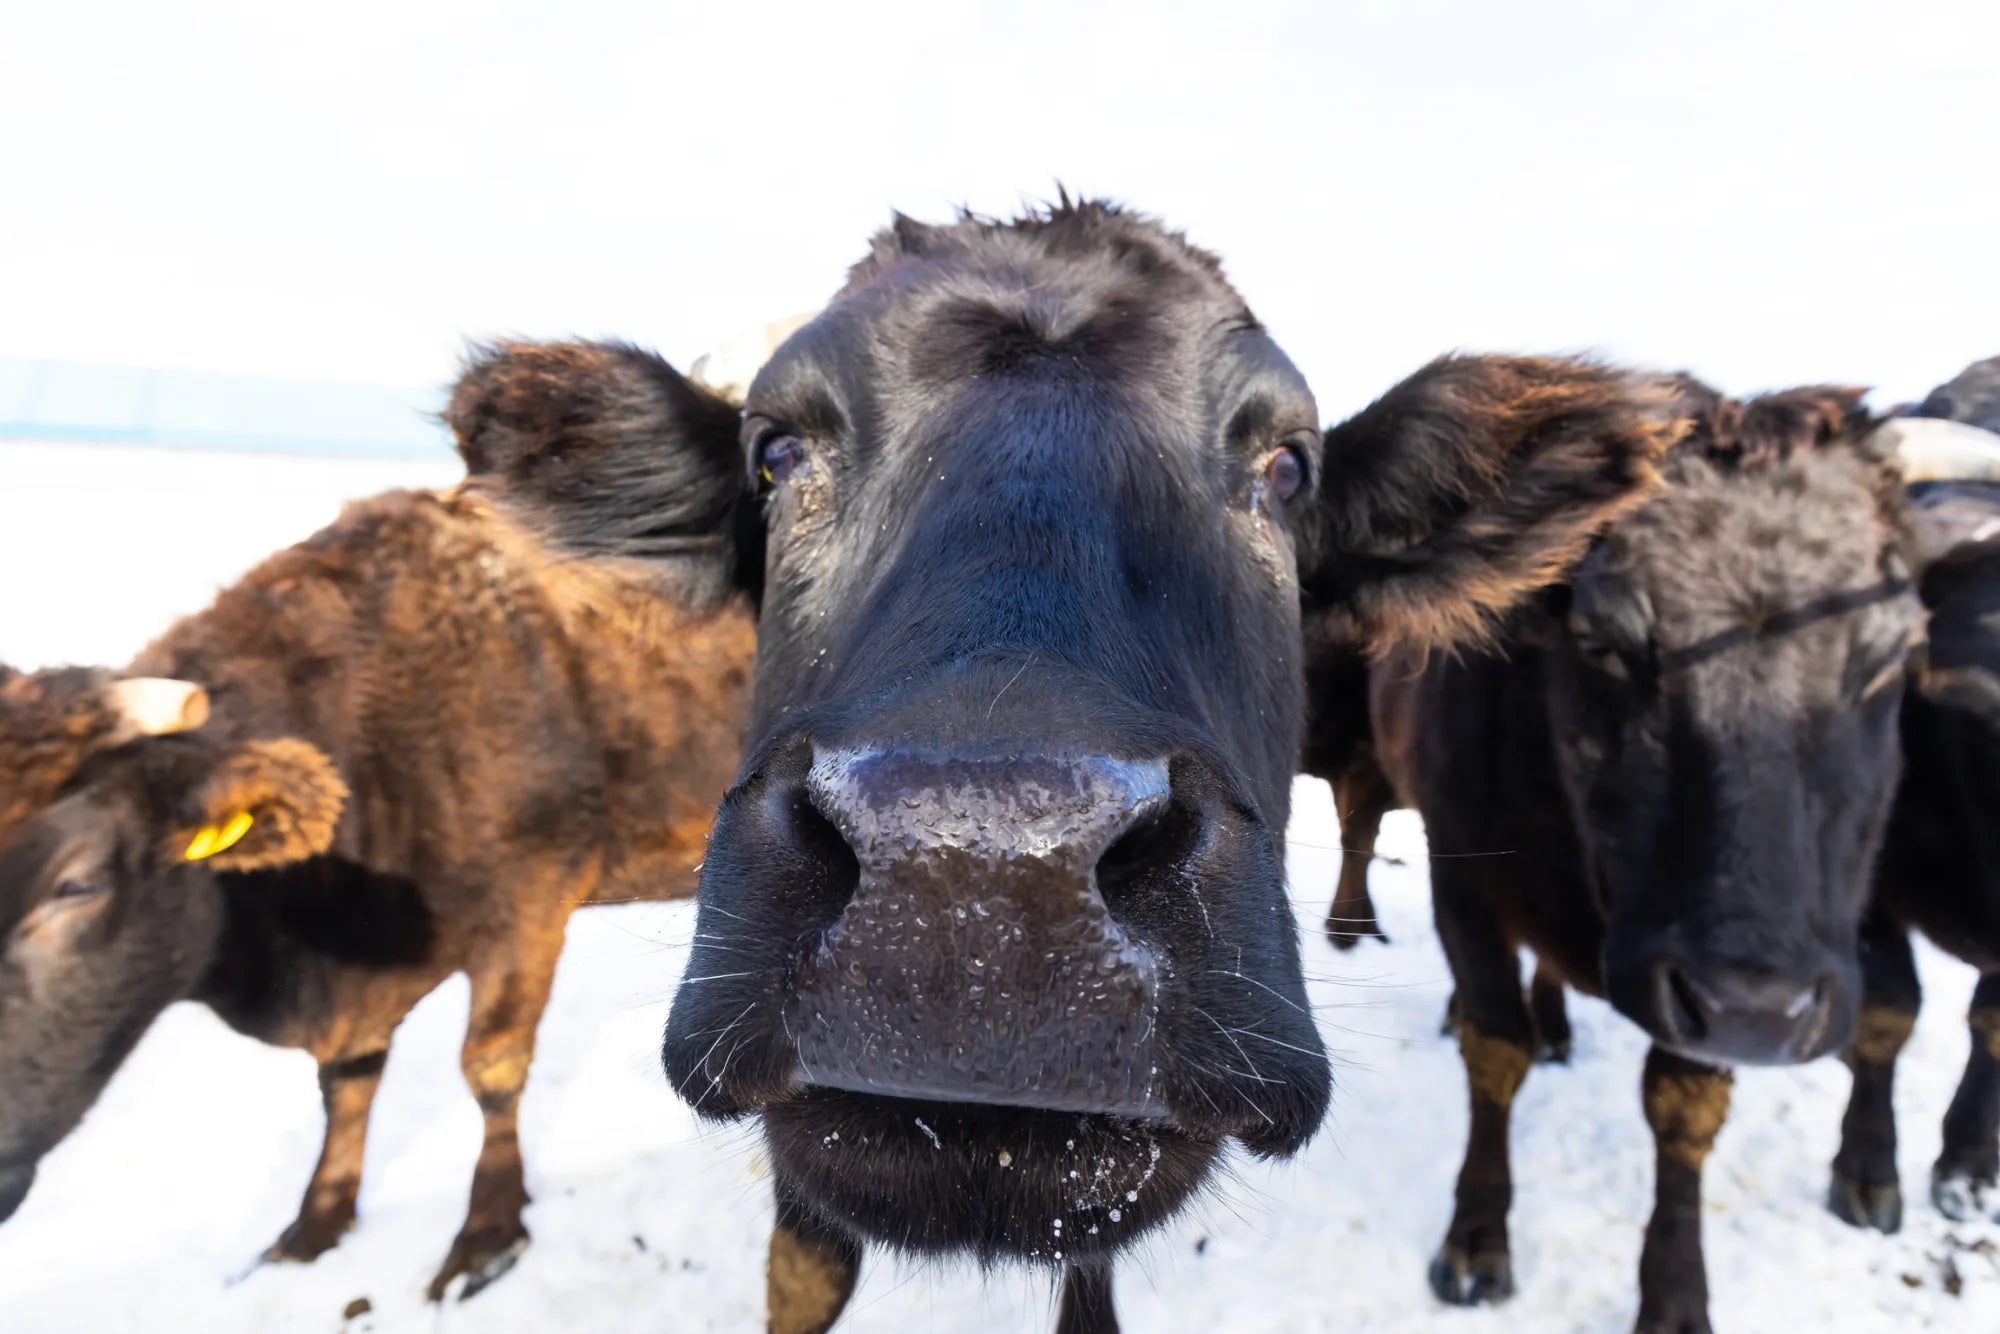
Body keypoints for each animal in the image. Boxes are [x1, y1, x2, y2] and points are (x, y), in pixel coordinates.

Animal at [0, 346, 756, 1300]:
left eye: (77, 883)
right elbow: (346, 1084)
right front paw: (316, 1223)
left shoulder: (529, 909)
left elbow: (490, 1068)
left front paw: (486, 1235)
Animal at [1358, 379, 1948, 1333]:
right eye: (1602, 642)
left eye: (1894, 656)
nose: (1759, 1008)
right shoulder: (1463, 877)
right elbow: (1494, 1052)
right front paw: (1478, 1233)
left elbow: (1683, 1110)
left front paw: (1673, 1291)